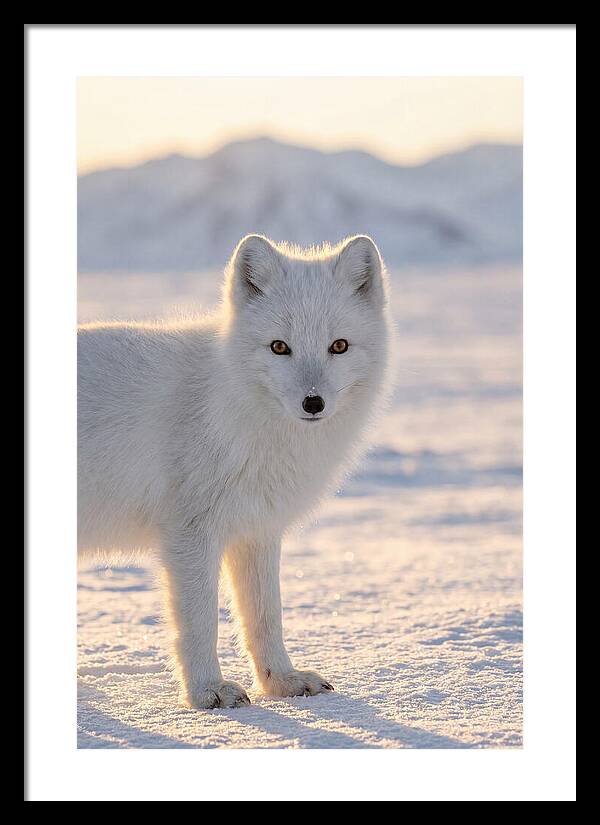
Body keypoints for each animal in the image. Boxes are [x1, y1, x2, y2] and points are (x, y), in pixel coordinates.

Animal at [78, 234, 392, 709]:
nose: (313, 403)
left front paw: (281, 682)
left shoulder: (256, 529)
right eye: (279, 347)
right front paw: (207, 692)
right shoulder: (190, 533)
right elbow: (200, 622)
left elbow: (265, 616)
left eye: (338, 346)